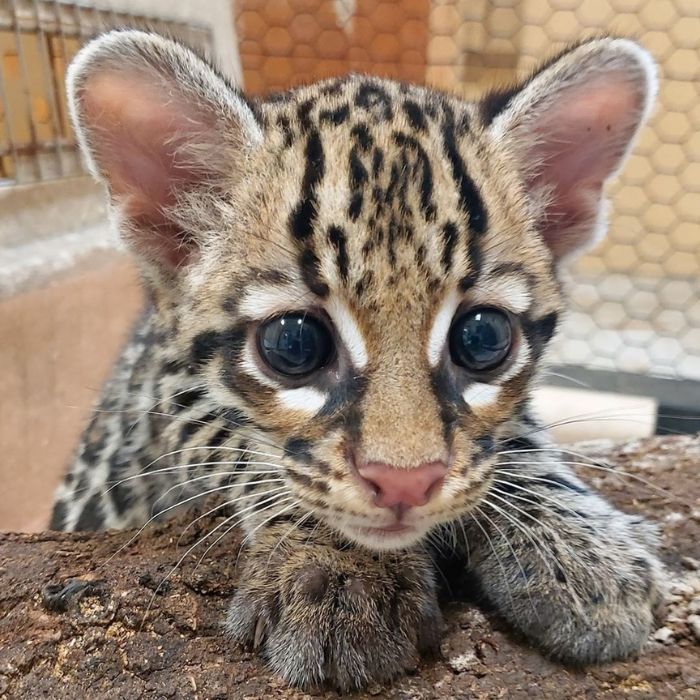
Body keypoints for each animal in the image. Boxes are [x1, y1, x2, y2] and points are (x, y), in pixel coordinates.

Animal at [52, 31, 664, 688]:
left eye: (483, 338)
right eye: (293, 345)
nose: (406, 482)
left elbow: (511, 435)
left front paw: (578, 543)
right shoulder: (159, 394)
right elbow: (250, 445)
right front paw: (339, 567)